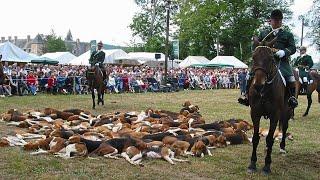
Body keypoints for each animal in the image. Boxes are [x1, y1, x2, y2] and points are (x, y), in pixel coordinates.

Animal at [248, 37, 296, 174]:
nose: (258, 85)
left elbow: (270, 139)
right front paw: (252, 163)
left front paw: (267, 165)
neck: (264, 91)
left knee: (284, 129)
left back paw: (282, 148)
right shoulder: (255, 113)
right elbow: (255, 137)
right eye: (253, 57)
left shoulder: (275, 115)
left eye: (271, 59)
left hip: (287, 112)